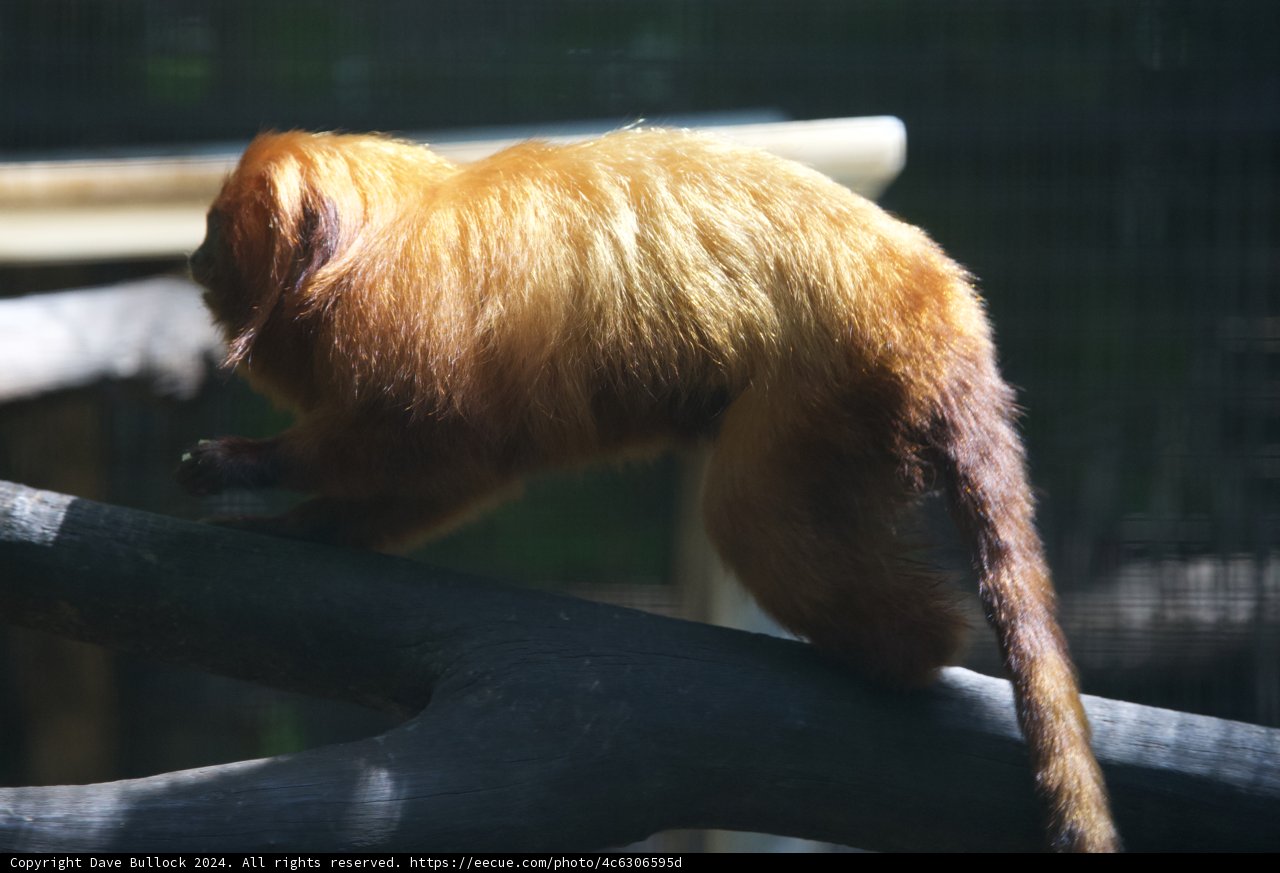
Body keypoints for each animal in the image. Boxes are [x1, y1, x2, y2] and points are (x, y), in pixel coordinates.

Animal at [177, 128, 1119, 852]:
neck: (368, 243)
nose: (192, 255)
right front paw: (309, 527)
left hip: (837, 374)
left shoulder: (405, 325)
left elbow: (426, 444)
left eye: (218, 231)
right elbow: (455, 474)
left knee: (749, 512)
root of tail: (933, 299)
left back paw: (900, 649)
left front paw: (253, 466)